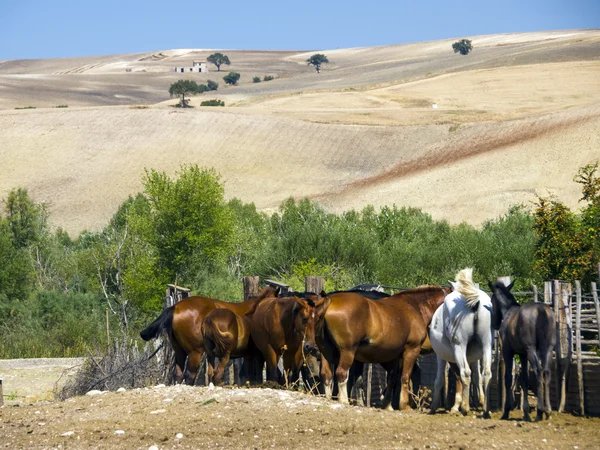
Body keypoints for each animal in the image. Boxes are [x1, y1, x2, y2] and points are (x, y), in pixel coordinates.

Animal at [318, 286, 450, 410]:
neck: (415, 307)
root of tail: (329, 302)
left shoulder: (394, 355)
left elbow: (392, 378)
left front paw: (388, 405)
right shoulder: (412, 349)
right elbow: (404, 377)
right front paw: (404, 405)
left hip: (327, 351)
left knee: (327, 374)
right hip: (347, 352)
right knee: (341, 373)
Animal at [432, 268, 492, 418]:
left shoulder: (441, 356)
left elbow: (439, 379)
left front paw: (434, 407)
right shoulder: (473, 357)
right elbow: (474, 377)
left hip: (459, 347)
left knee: (465, 373)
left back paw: (465, 408)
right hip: (487, 344)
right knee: (486, 374)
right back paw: (485, 409)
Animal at [488, 280, 556, 420]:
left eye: (492, 300)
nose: (495, 324)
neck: (507, 312)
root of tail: (541, 311)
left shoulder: (508, 352)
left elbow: (508, 378)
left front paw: (506, 411)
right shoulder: (522, 354)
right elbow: (524, 379)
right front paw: (525, 412)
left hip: (532, 350)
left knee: (539, 371)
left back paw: (540, 411)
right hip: (547, 349)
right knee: (546, 372)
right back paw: (548, 410)